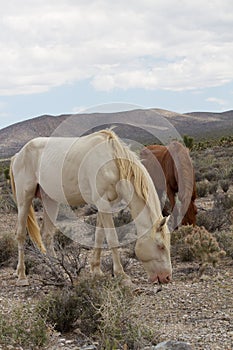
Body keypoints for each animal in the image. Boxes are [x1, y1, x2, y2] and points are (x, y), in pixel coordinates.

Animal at [10, 130, 172, 286]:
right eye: (160, 246)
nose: (167, 278)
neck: (112, 162)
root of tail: (18, 155)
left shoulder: (104, 204)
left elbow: (99, 236)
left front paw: (96, 271)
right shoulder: (102, 203)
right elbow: (112, 238)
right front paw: (122, 275)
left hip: (49, 199)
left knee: (47, 235)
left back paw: (58, 272)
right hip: (25, 197)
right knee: (20, 234)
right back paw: (22, 276)